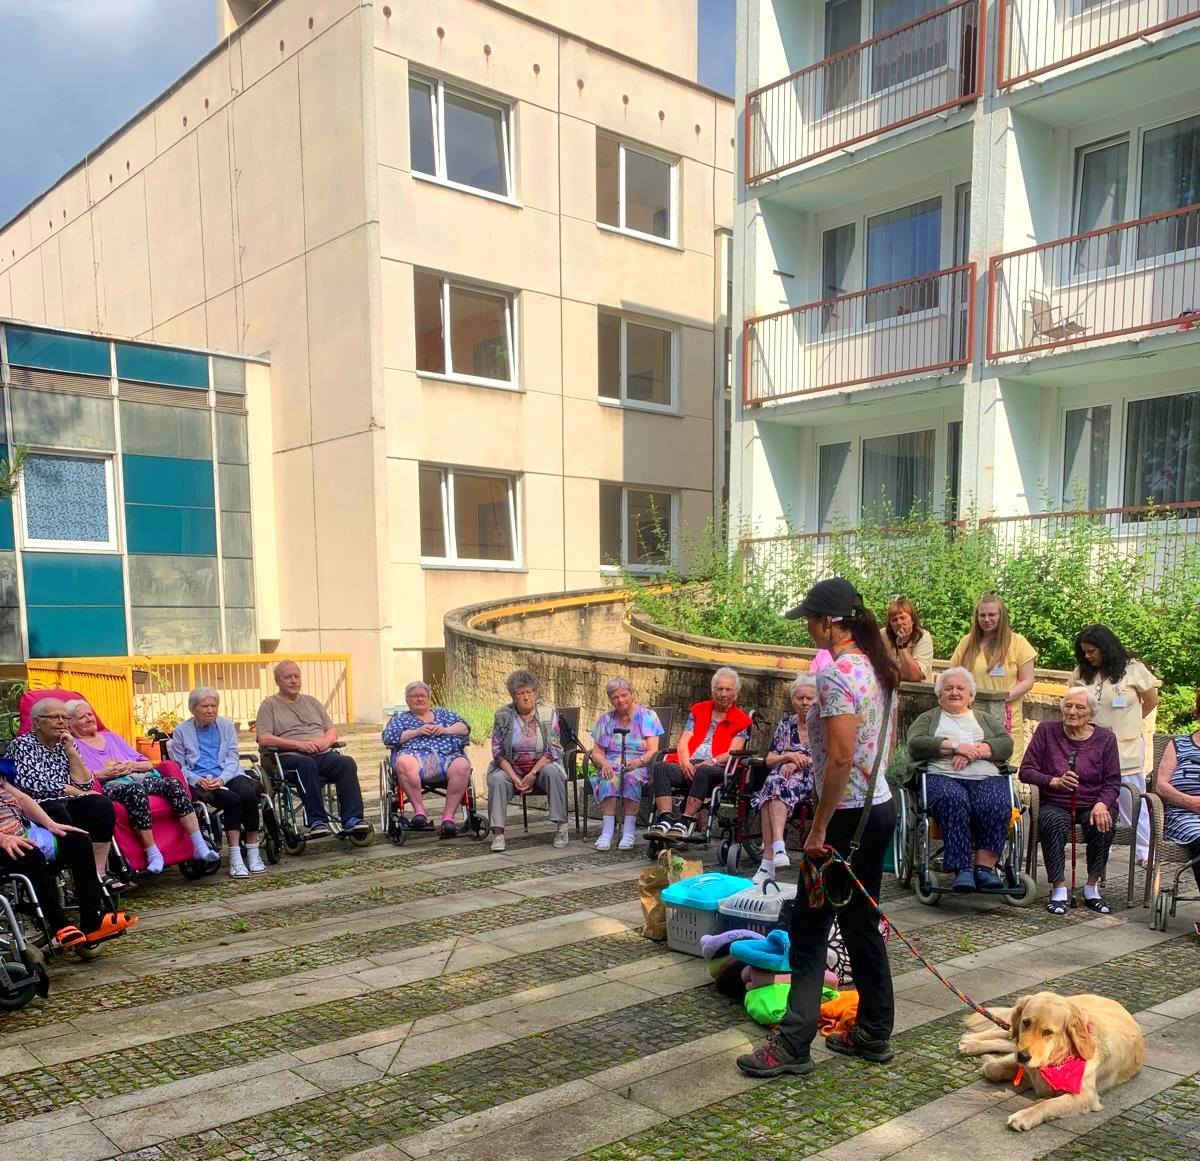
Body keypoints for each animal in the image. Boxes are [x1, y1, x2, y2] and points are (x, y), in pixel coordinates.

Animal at [959, 992, 1146, 1132]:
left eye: (1048, 1032)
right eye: (1026, 1022)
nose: (1023, 1056)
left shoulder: (1085, 1096)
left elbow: (1047, 1104)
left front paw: (1025, 1115)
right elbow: (992, 1067)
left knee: (1005, 1039)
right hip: (1013, 1030)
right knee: (1003, 1031)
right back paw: (970, 1041)